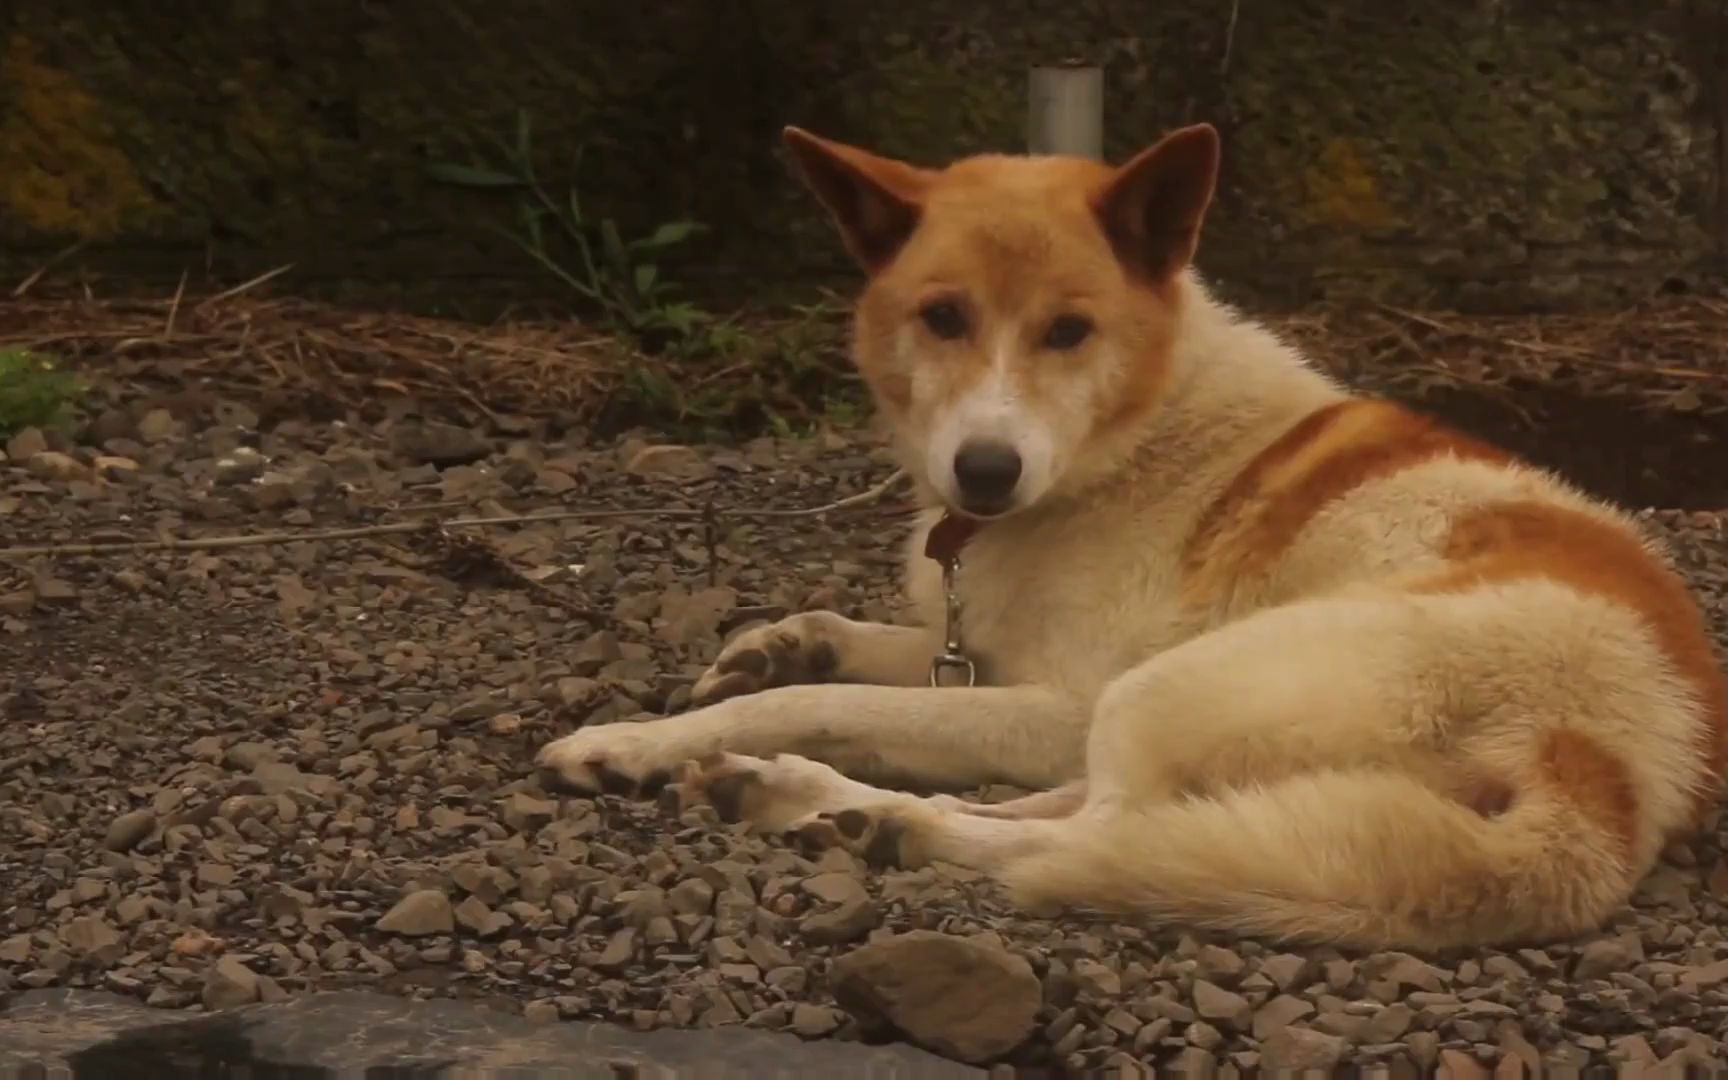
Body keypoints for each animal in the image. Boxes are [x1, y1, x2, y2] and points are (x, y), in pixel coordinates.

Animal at [532, 121, 1721, 946]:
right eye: (942, 316)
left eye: (1070, 331)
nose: (987, 471)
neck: (1140, 426)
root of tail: (1612, 763)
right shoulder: (986, 655)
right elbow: (846, 641)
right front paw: (764, 648)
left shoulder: (1058, 700)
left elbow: (834, 704)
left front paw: (633, 739)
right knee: (1101, 812)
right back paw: (815, 801)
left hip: (1162, 690)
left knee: (1094, 828)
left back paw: (876, 820)